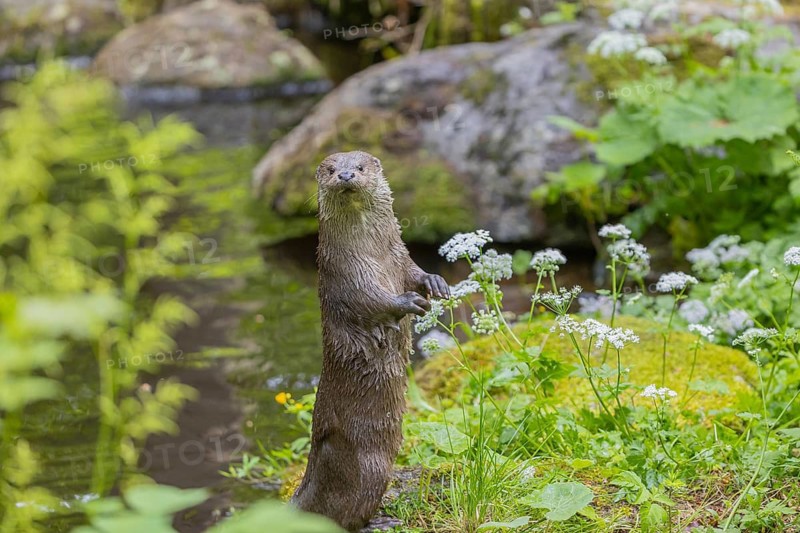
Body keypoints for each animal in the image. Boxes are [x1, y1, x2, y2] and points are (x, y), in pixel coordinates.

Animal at [290, 151, 449, 531]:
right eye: (332, 170)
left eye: (360, 167)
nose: (346, 175)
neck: (375, 253)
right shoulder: (348, 273)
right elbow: (372, 301)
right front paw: (408, 302)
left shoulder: (400, 255)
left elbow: (415, 272)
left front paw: (434, 282)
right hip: (367, 466)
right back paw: (380, 521)